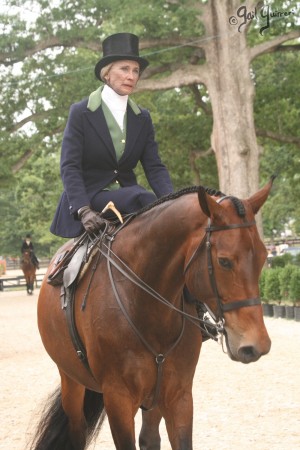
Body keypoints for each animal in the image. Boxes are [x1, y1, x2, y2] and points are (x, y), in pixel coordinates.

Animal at [29, 179, 274, 450]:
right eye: (224, 261)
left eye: (263, 256)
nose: (257, 345)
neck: (145, 304)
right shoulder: (118, 399)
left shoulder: (178, 395)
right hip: (71, 381)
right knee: (76, 431)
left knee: (149, 437)